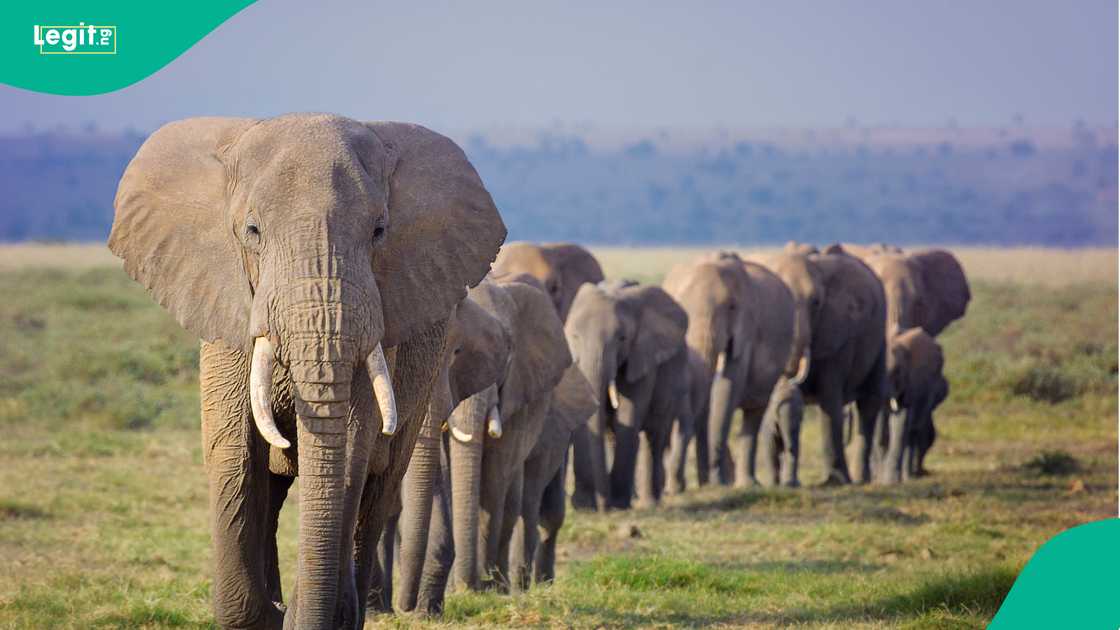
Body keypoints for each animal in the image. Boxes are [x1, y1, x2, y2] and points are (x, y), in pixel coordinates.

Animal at [447, 274, 572, 592]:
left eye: (507, 355)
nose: (467, 585)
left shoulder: (519, 393)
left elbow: (494, 478)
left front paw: (481, 587)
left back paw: (501, 584)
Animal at [566, 280, 690, 510]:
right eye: (574, 337)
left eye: (622, 338)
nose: (602, 507)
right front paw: (584, 505)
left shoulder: (643, 356)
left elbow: (628, 415)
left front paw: (618, 504)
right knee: (614, 435)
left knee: (655, 434)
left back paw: (650, 502)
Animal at [662, 252, 798, 488]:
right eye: (680, 305)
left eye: (732, 307)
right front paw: (709, 483)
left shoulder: (747, 329)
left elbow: (728, 385)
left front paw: (717, 482)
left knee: (754, 413)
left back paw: (747, 484)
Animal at [751, 243, 888, 485]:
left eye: (816, 303)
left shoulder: (839, 331)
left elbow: (830, 399)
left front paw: (835, 481)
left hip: (880, 337)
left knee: (869, 402)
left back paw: (861, 480)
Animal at [876, 327, 946, 483]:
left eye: (897, 371)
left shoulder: (912, 382)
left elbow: (902, 420)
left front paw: (890, 482)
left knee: (913, 431)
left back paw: (910, 476)